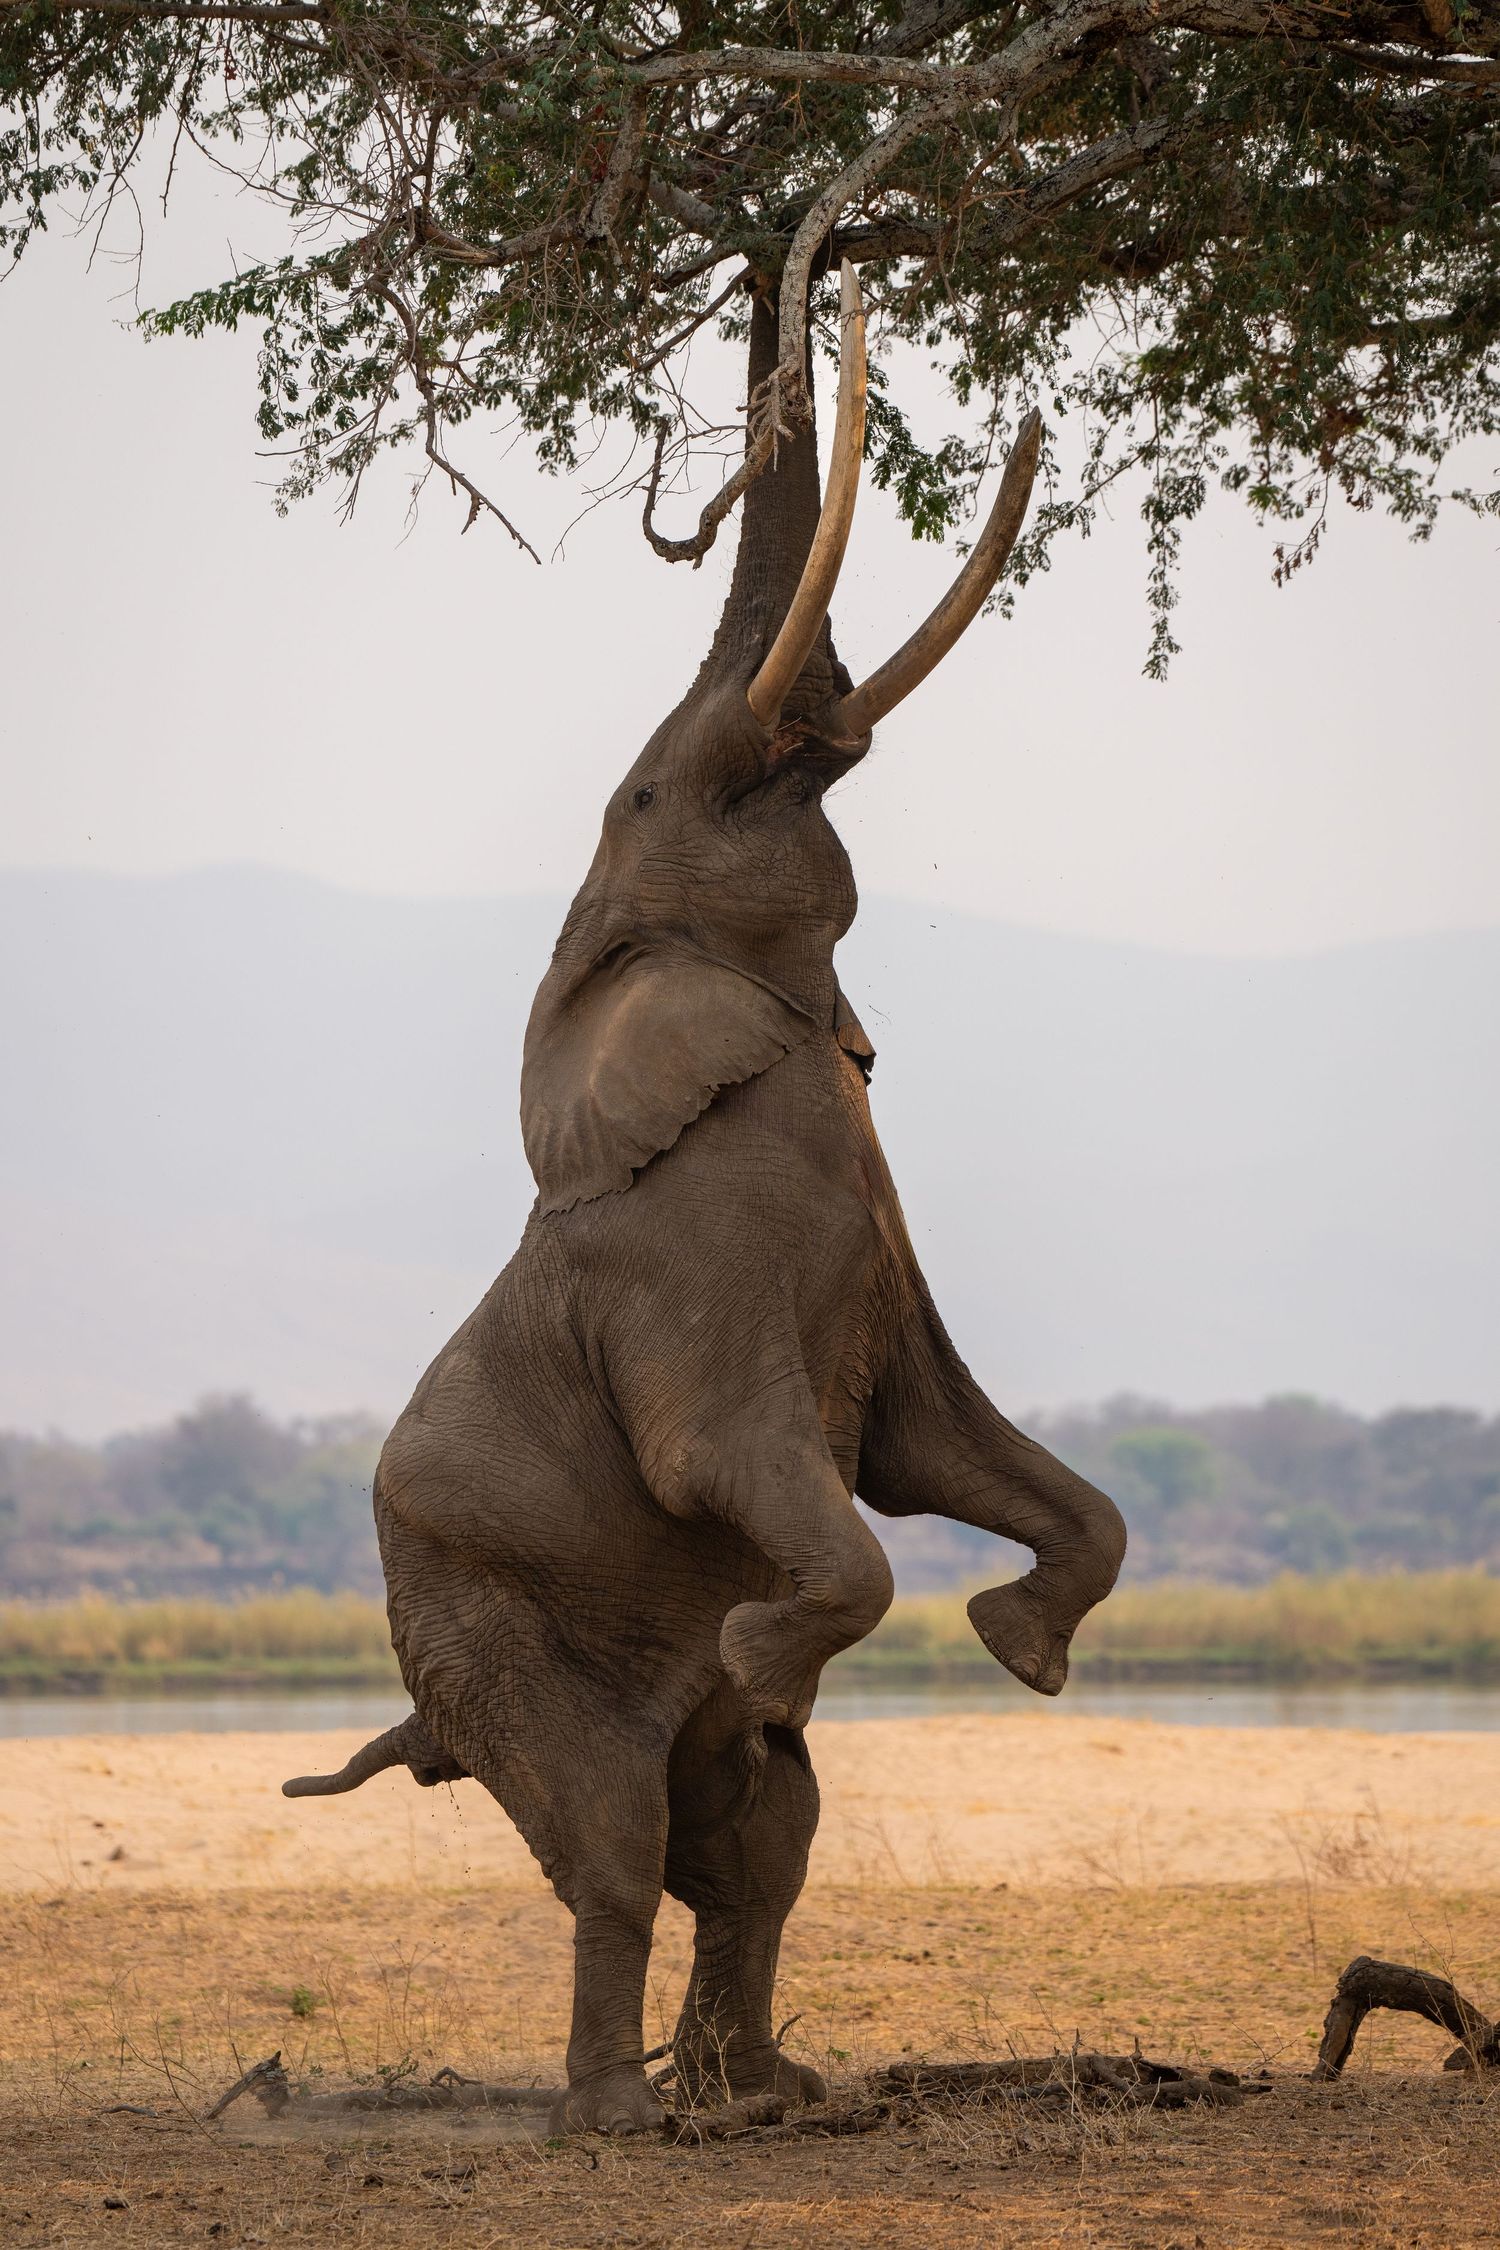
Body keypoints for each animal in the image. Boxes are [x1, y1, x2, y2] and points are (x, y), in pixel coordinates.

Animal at [284, 264, 1126, 2136]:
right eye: (656, 796)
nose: (834, 273)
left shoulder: (876, 1248)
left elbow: (941, 1453)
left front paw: (1020, 1649)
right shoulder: (690, 1273)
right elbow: (746, 1470)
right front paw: (761, 1637)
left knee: (759, 1839)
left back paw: (770, 2097)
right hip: (486, 1633)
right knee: (617, 1840)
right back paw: (620, 2118)